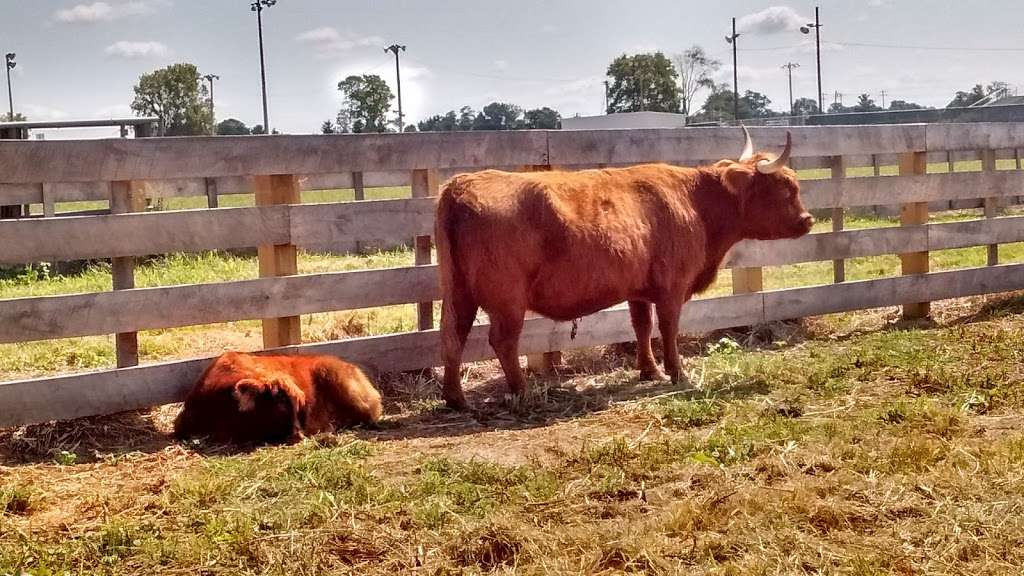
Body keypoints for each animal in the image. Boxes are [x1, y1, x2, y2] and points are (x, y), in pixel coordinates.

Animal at [436, 129, 811, 407]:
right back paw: (522, 392)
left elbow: (641, 327)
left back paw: (456, 399)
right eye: (784, 188)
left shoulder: (639, 290)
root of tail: (460, 185)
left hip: (457, 293)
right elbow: (669, 328)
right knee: (502, 341)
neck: (695, 202)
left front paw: (649, 370)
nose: (808, 220)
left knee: (452, 335)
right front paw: (678, 373)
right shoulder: (672, 287)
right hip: (507, 301)